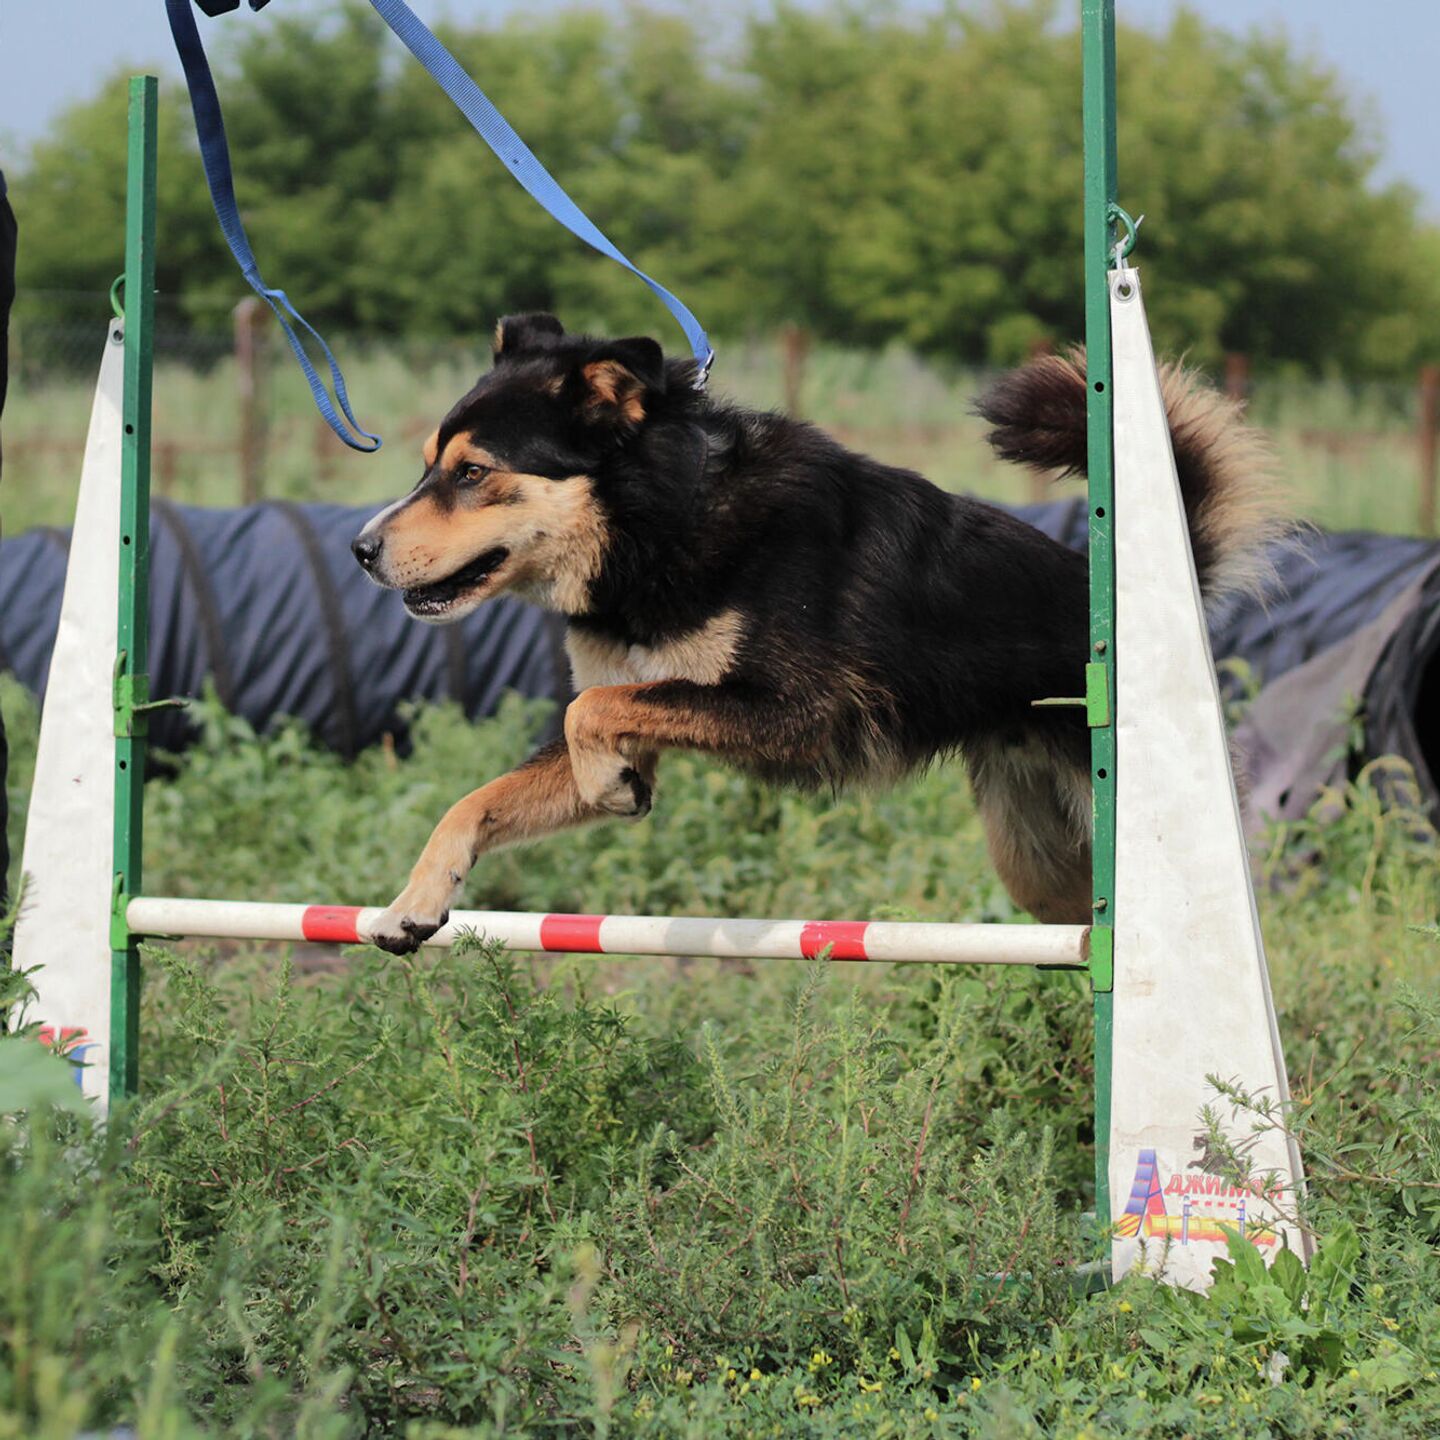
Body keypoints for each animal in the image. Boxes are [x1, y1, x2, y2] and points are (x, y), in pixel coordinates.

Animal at [354, 309, 1278, 950]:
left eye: (473, 473)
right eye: (428, 465)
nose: (360, 550)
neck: (668, 519)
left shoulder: (801, 710)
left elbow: (592, 711)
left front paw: (610, 786)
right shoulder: (657, 705)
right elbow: (479, 798)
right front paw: (413, 903)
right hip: (1038, 862)